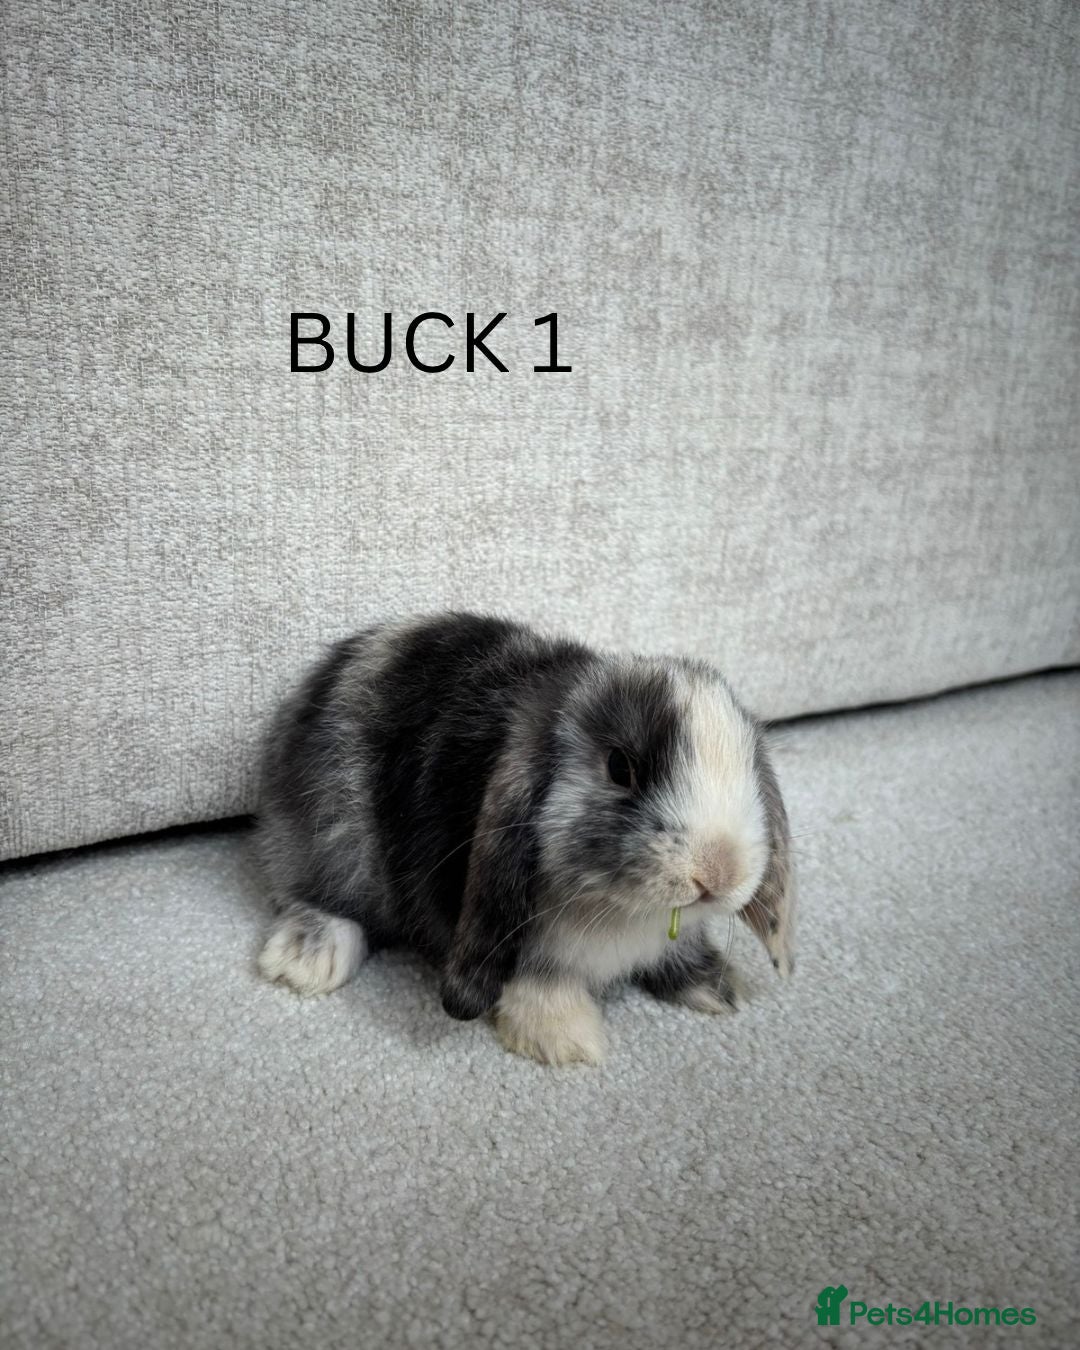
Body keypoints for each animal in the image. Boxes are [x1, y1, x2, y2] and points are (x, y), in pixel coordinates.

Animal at [255, 612, 794, 1066]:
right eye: (621, 768)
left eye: (750, 766)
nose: (718, 872)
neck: (620, 911)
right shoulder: (507, 924)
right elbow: (533, 975)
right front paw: (566, 1040)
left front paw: (720, 988)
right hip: (335, 839)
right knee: (310, 896)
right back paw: (306, 960)